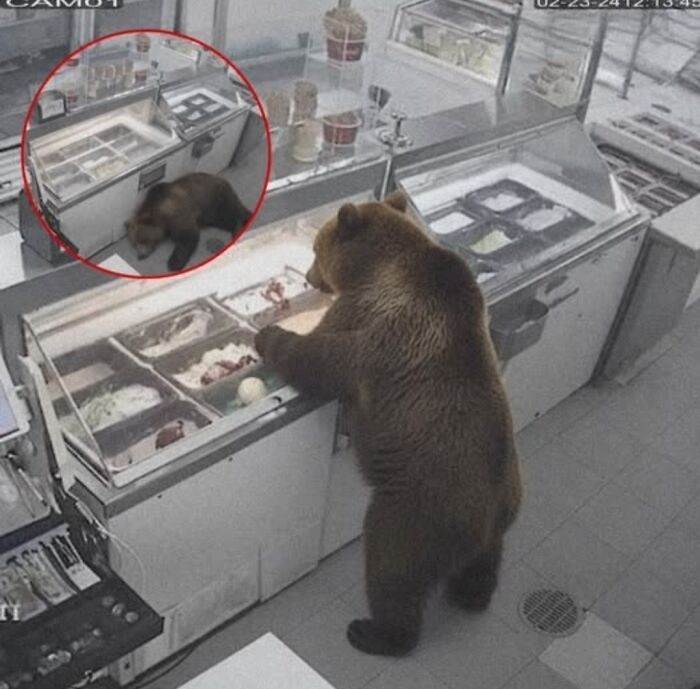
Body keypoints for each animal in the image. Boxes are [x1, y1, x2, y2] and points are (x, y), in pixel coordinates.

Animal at [254, 191, 522, 657]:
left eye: (315, 248)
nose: (309, 276)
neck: (378, 266)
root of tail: (487, 514)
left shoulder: (370, 322)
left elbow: (319, 355)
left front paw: (268, 336)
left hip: (418, 507)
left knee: (392, 568)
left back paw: (375, 632)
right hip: (502, 509)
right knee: (486, 561)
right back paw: (472, 595)